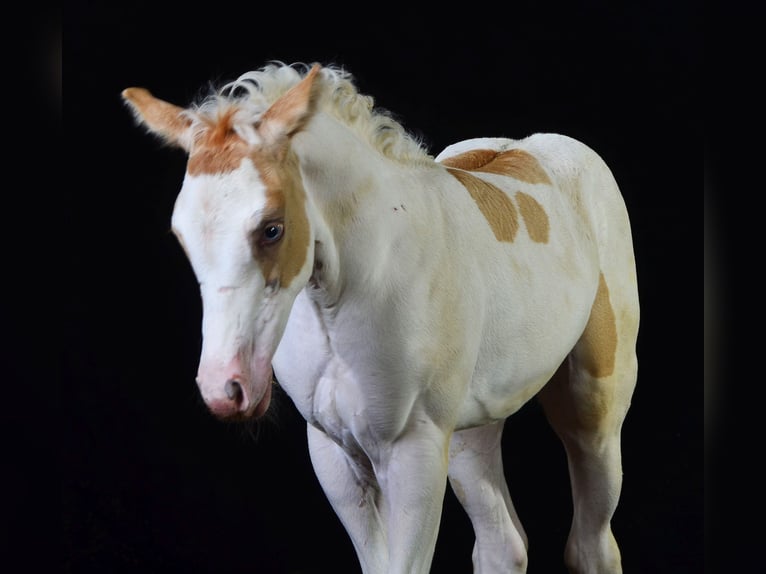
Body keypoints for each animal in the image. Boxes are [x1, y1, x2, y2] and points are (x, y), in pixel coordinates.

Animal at [122, 61, 639, 574]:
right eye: (180, 234)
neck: (348, 293)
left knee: (593, 544)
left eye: (272, 228)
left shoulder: (413, 453)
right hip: (471, 428)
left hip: (594, 407)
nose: (226, 388)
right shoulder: (334, 453)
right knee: (502, 544)